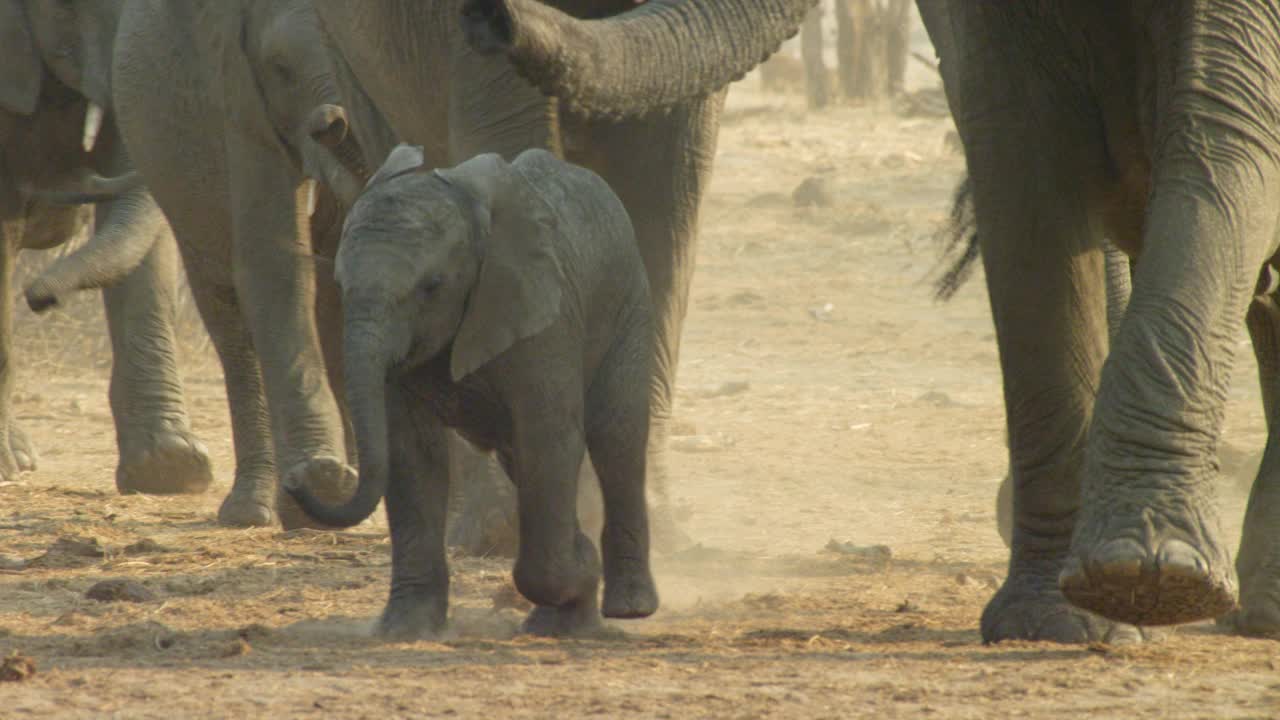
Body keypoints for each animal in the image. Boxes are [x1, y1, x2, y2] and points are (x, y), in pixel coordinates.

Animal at [285, 144, 655, 632]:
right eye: (341, 285)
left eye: (432, 286)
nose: (294, 480)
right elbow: (409, 452)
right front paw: (406, 628)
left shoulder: (544, 319)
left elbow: (548, 438)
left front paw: (581, 567)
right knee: (523, 461)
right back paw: (561, 621)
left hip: (627, 305)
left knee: (617, 439)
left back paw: (629, 608)